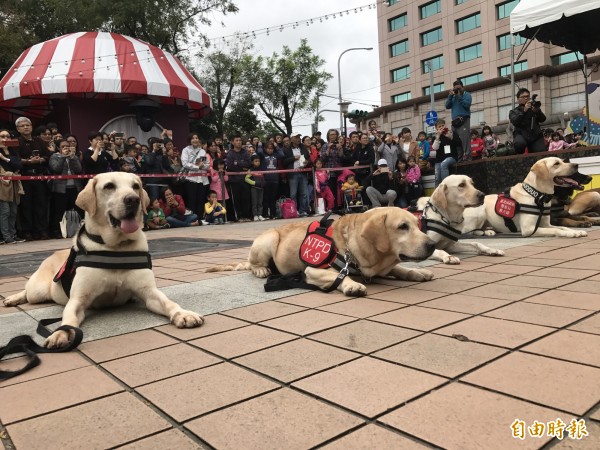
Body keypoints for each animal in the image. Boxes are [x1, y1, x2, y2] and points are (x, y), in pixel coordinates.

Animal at [1, 172, 204, 348]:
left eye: (135, 186)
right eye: (109, 186)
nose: (133, 199)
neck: (115, 247)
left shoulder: (149, 292)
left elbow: (169, 302)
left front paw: (183, 314)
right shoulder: (78, 299)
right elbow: (69, 319)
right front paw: (60, 333)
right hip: (38, 290)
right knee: (27, 291)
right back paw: (12, 298)